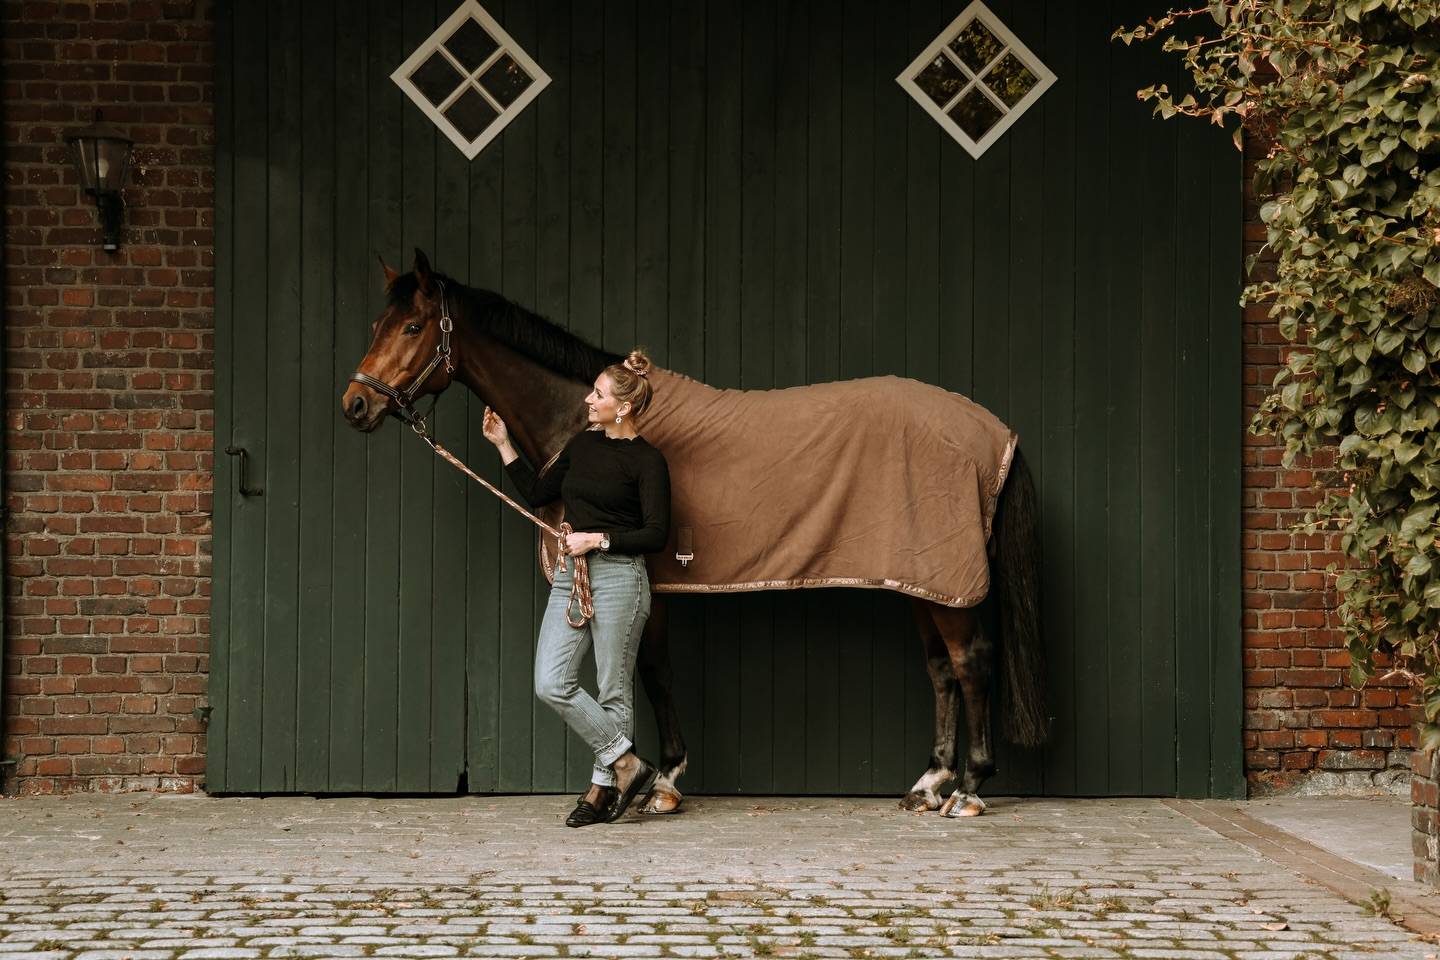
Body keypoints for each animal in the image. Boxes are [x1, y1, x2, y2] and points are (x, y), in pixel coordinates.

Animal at [341, 250, 1048, 817]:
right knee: (941, 669)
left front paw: (659, 781)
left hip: (946, 583)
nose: (356, 404)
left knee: (970, 663)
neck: (588, 424)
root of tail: (995, 432)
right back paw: (928, 784)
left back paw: (968, 789)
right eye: (377, 326)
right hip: (921, 582)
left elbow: (648, 673)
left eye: (412, 327)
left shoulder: (648, 584)